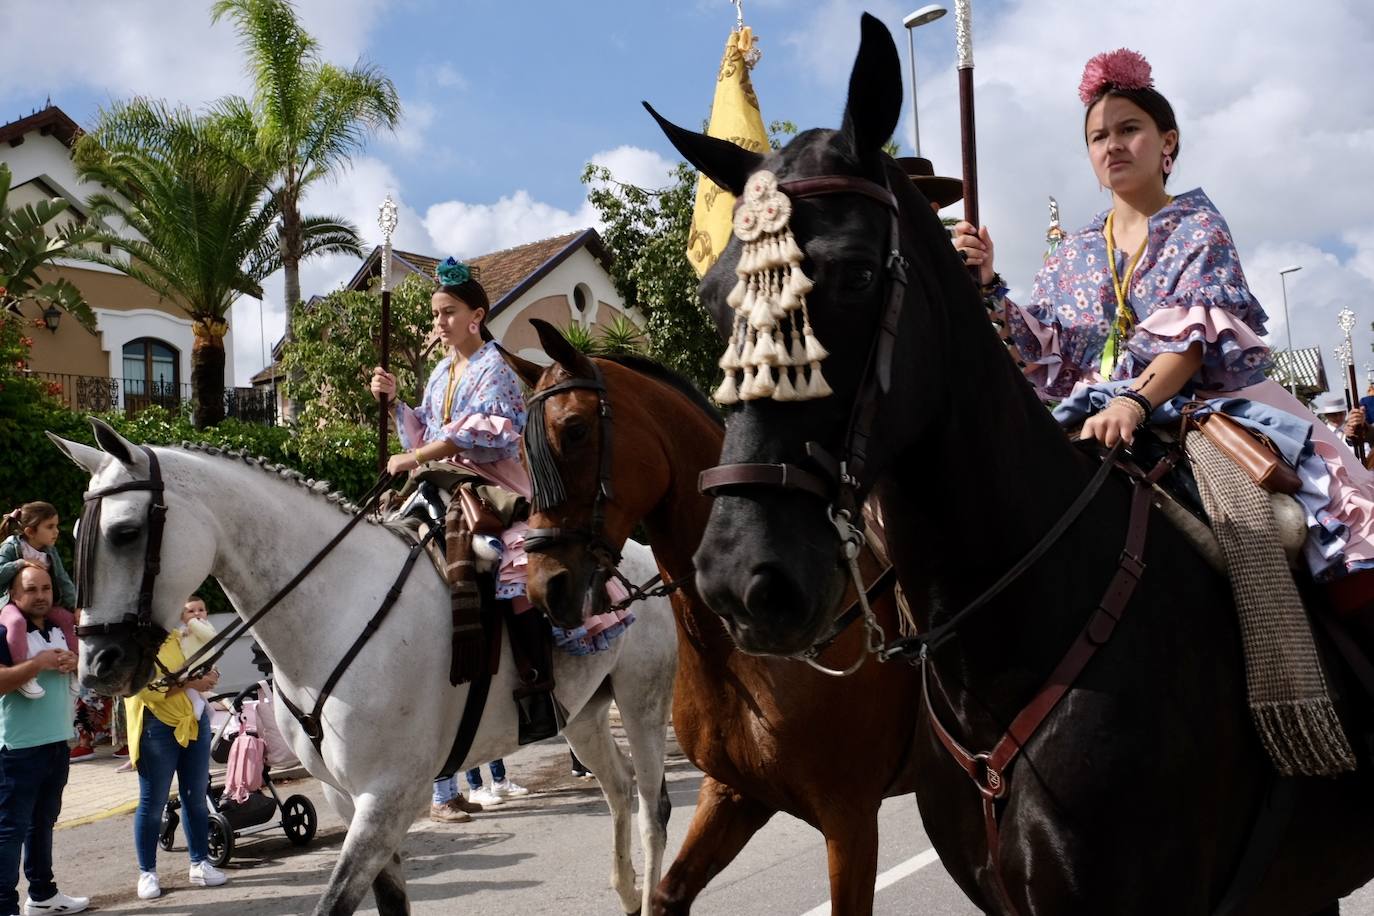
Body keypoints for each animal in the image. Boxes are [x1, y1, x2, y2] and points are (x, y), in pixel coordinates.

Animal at [53, 422, 676, 916]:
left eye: (124, 533)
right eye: (78, 535)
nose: (98, 666)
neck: (337, 609)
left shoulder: (388, 797)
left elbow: (336, 902)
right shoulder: (345, 797)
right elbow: (390, 900)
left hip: (643, 704)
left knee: (652, 806)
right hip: (584, 714)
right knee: (619, 788)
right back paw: (625, 890)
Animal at [508, 322, 923, 916]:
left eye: (576, 429)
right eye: (519, 448)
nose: (546, 586)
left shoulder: (851, 821)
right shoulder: (734, 794)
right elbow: (666, 894)